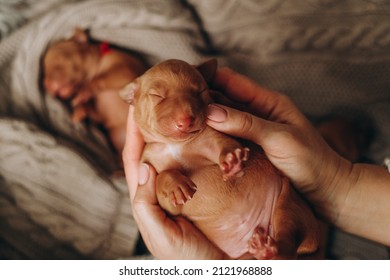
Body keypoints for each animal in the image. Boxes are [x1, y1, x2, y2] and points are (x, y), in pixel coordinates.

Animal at [42, 27, 147, 155]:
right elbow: (94, 113)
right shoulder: (101, 114)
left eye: (59, 61)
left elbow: (99, 79)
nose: (46, 84)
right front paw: (79, 110)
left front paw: (83, 93)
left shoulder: (125, 69)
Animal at [120, 59, 322, 260]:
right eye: (157, 96)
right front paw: (177, 186)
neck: (175, 145)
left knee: (287, 241)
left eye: (200, 91)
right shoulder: (167, 200)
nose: (185, 121)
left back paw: (269, 248)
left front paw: (232, 160)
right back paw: (264, 249)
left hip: (288, 202)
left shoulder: (211, 136)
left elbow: (225, 142)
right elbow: (161, 180)